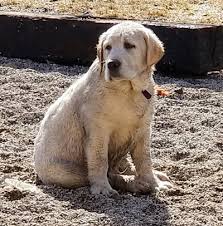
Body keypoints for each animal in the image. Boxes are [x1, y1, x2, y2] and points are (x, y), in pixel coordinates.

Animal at [34, 21, 172, 194]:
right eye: (108, 47)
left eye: (129, 45)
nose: (112, 64)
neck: (128, 90)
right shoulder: (98, 129)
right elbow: (99, 159)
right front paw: (102, 188)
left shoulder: (143, 128)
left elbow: (144, 159)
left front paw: (154, 183)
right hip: (64, 172)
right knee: (106, 174)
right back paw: (134, 183)